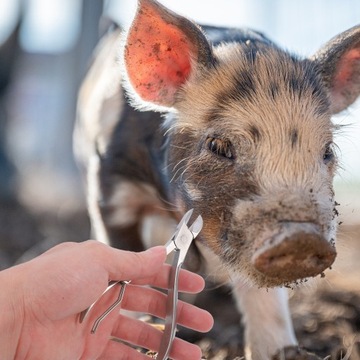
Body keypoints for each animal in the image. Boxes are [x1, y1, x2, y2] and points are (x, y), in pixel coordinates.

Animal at [74, 0, 360, 358]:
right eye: (219, 146)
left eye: (327, 151)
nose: (300, 237)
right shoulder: (111, 192)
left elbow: (264, 299)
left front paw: (281, 351)